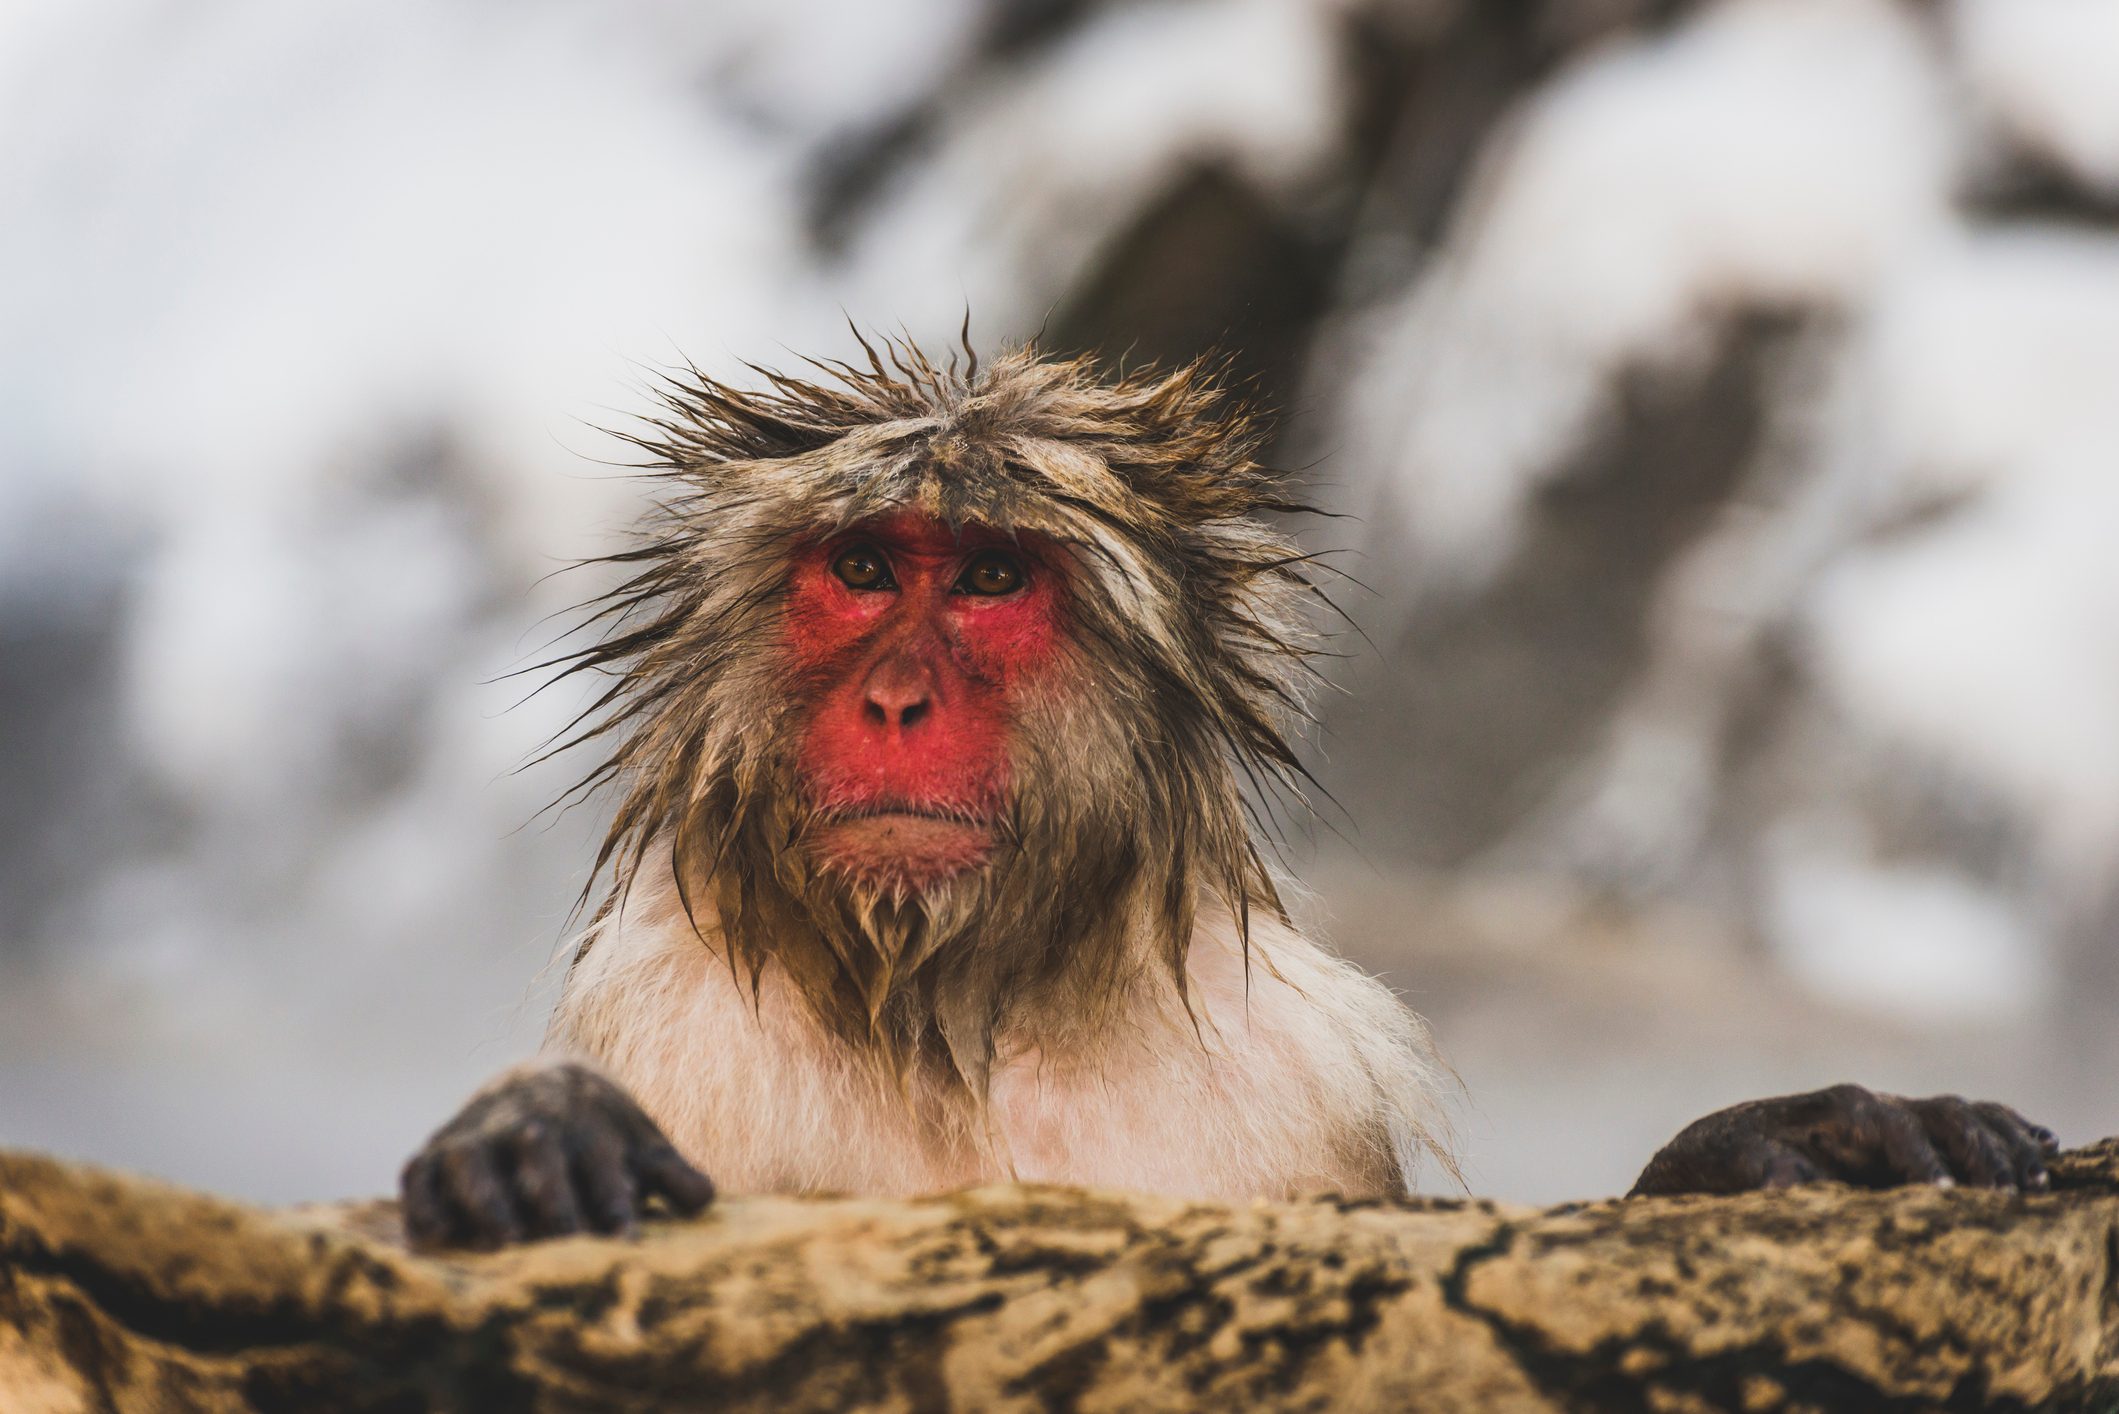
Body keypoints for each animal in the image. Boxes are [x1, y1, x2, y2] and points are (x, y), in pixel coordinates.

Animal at [400, 340, 2057, 1249]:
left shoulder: (1299, 1094)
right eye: (863, 566)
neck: (956, 1012)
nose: (894, 699)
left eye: (989, 577)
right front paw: (521, 1133)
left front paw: (1755, 1149)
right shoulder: (667, 1032)